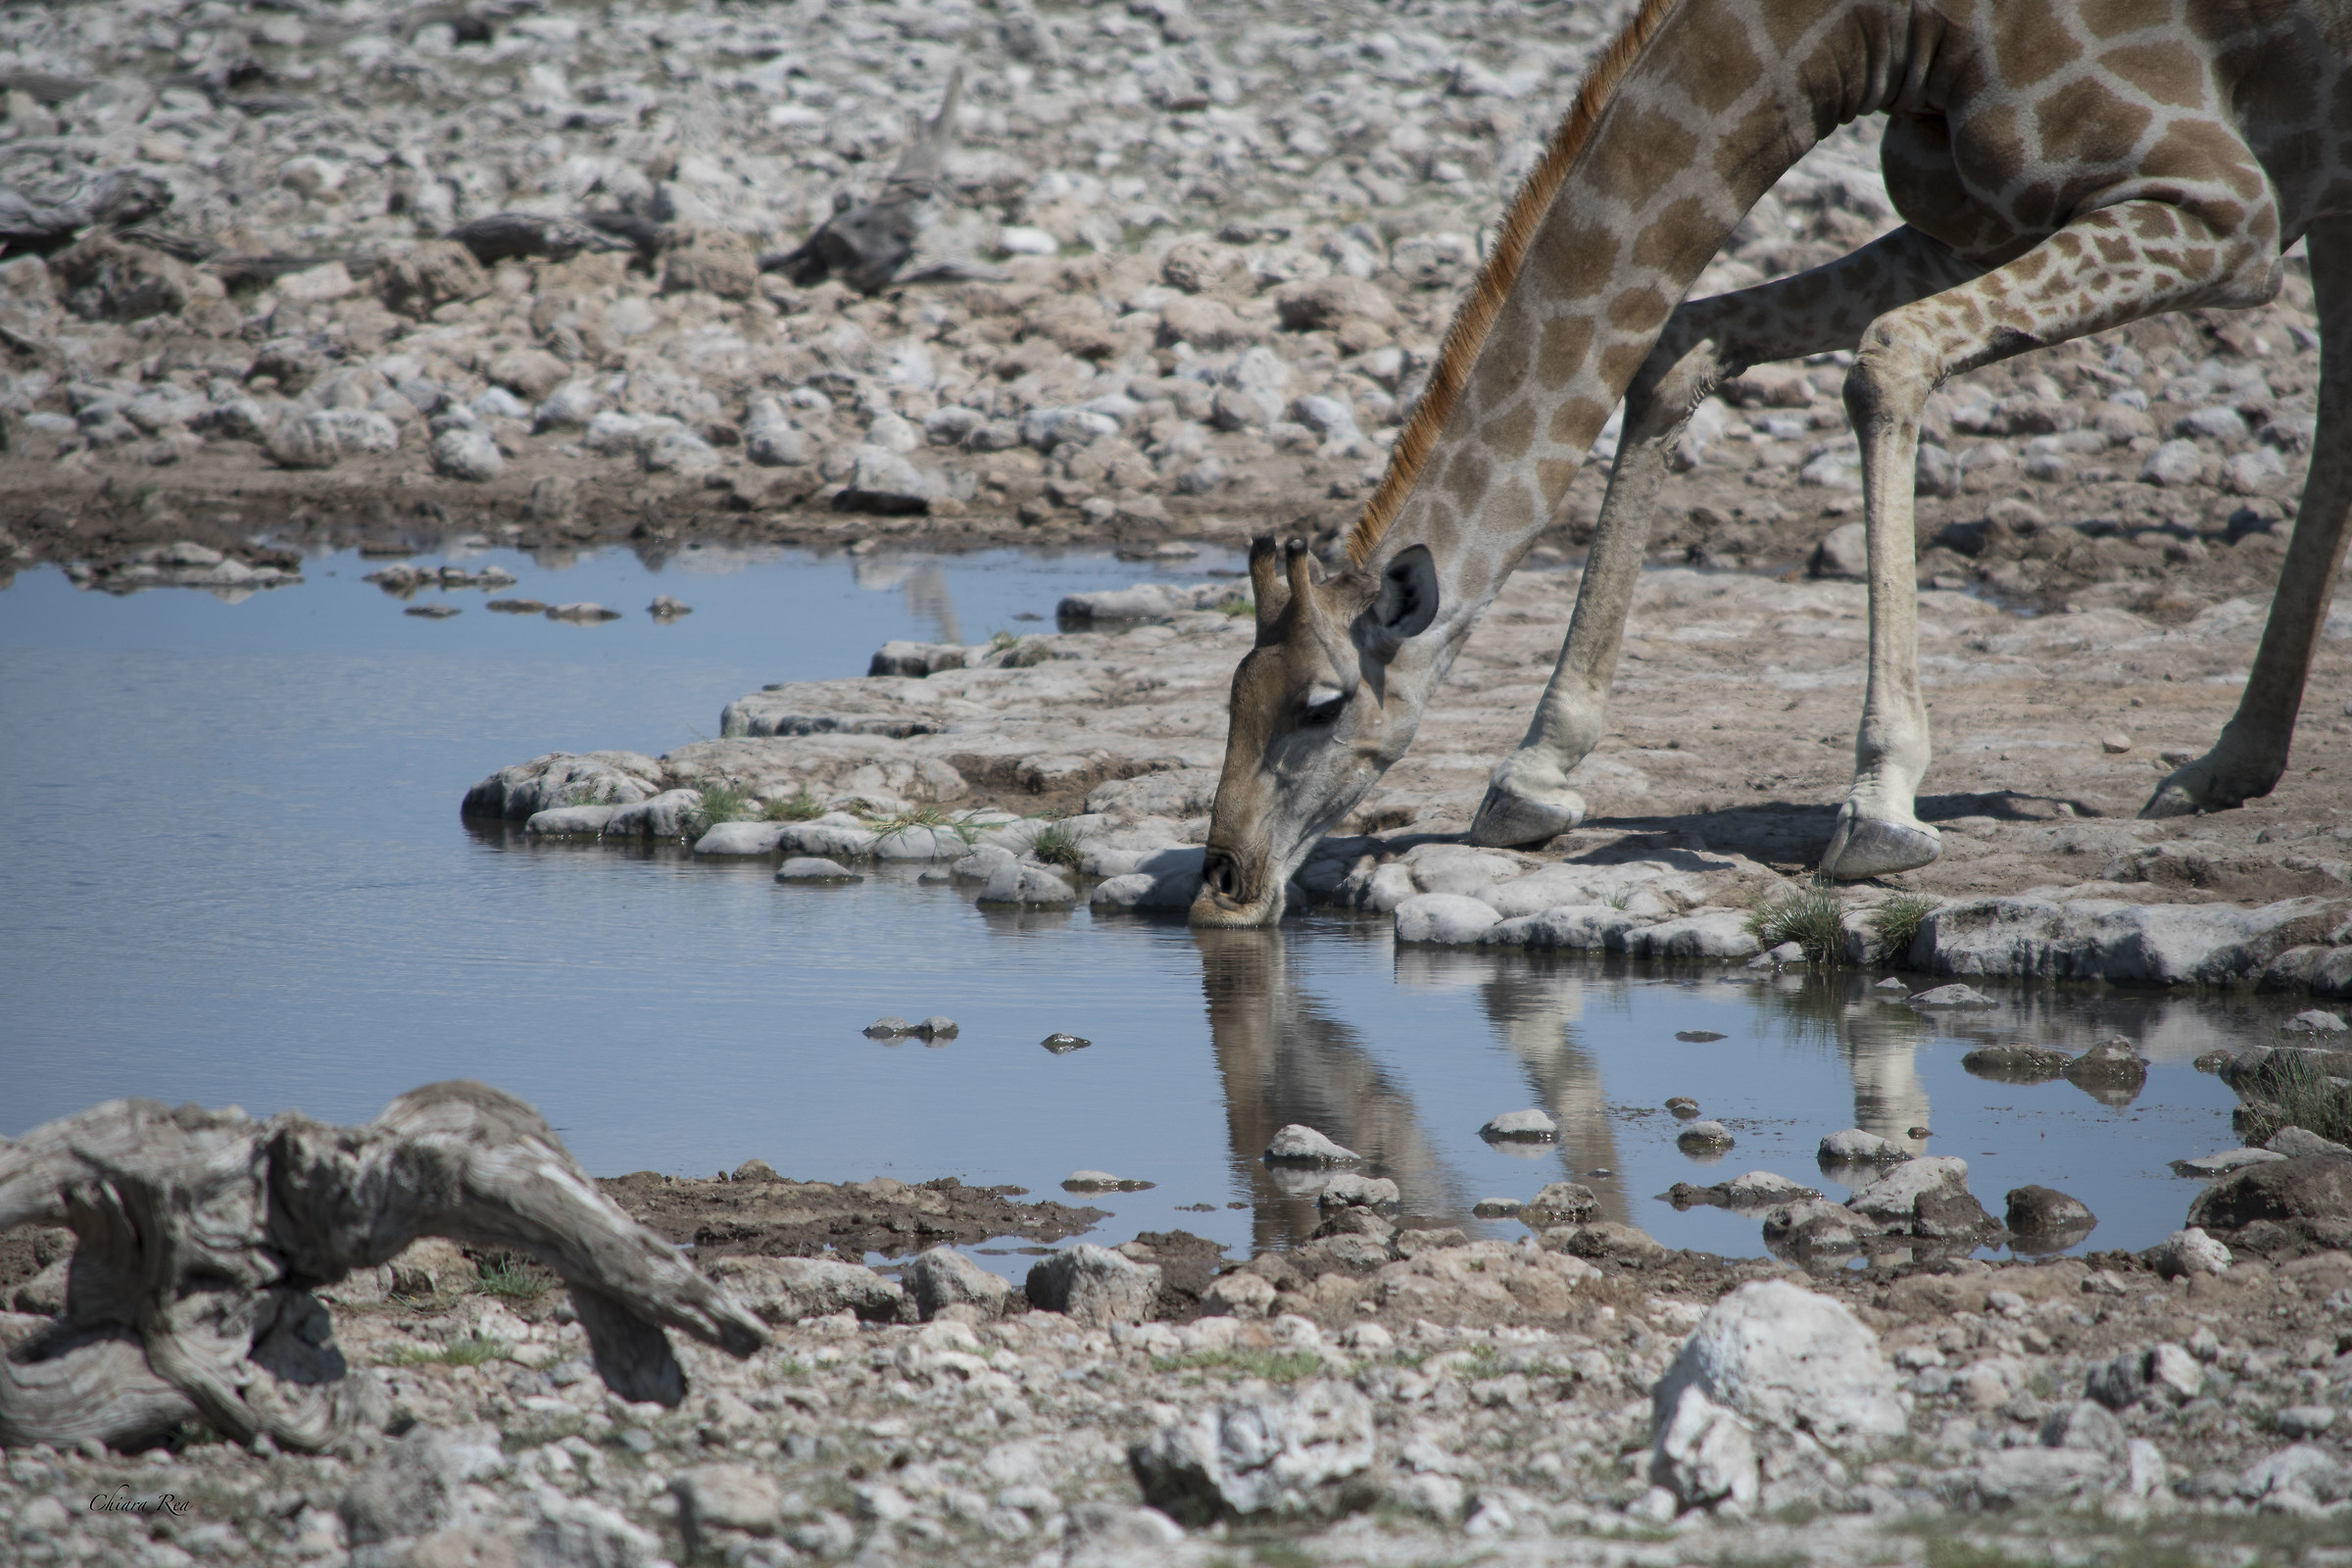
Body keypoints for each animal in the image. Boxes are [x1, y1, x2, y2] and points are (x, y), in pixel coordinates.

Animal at [1190, 0, 2352, 928]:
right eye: (1231, 696)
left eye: (1321, 705)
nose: (1226, 885)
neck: (1887, 32)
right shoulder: (1972, 222)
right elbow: (1680, 346)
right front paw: (1532, 779)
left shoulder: (2226, 210)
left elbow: (1887, 360)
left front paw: (1881, 805)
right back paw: (2227, 764)